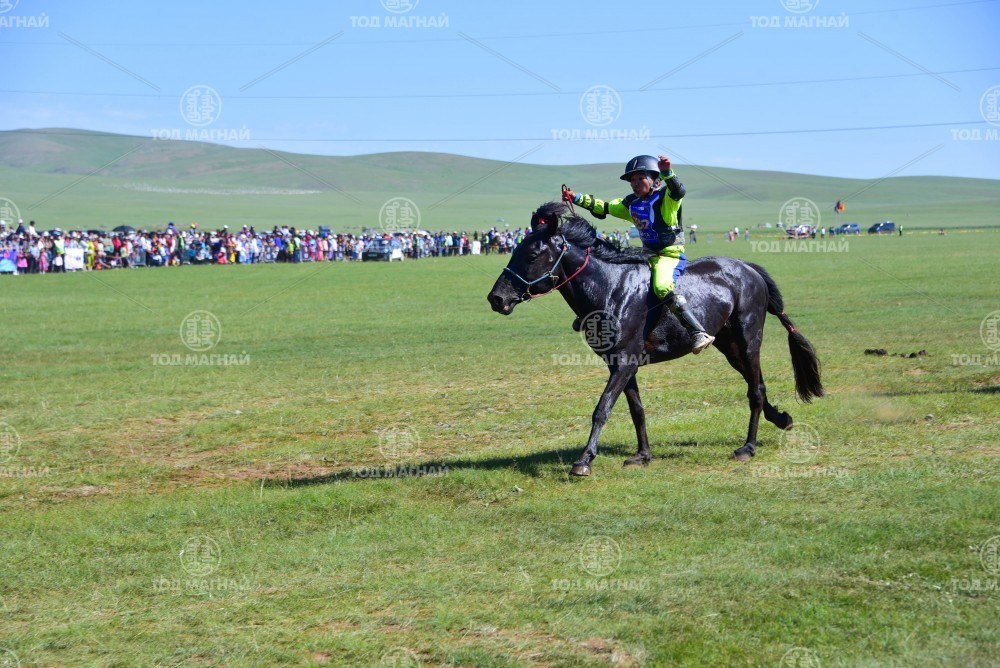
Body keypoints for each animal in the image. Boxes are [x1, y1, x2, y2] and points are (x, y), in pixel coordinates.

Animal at [487, 202, 824, 476]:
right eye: (513, 250)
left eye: (531, 254)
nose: (496, 298)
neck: (610, 289)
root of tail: (748, 268)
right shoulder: (621, 364)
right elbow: (636, 410)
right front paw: (643, 455)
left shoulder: (624, 362)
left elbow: (602, 408)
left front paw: (584, 460)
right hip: (729, 347)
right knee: (759, 386)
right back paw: (781, 419)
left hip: (748, 340)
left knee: (754, 391)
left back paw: (748, 447)